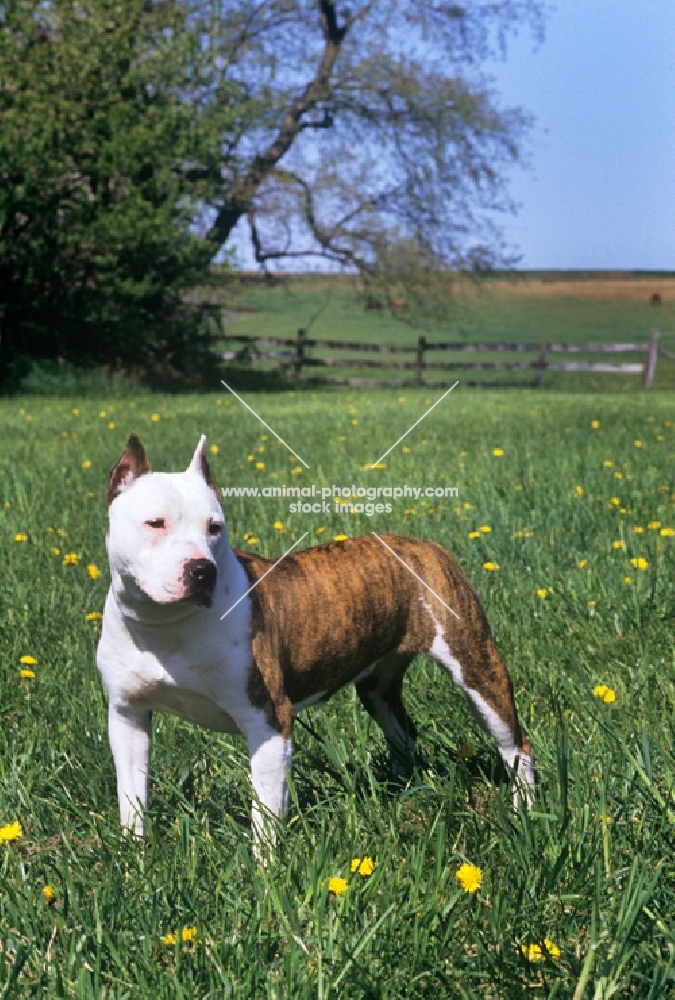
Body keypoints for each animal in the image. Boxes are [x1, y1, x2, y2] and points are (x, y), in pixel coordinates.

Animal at [97, 436, 536, 852]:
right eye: (156, 523)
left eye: (214, 527)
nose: (203, 570)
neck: (165, 625)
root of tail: (428, 546)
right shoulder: (127, 717)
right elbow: (131, 797)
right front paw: (135, 858)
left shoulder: (268, 721)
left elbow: (265, 814)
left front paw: (266, 870)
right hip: (378, 688)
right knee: (403, 732)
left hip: (476, 666)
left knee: (516, 745)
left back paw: (526, 812)